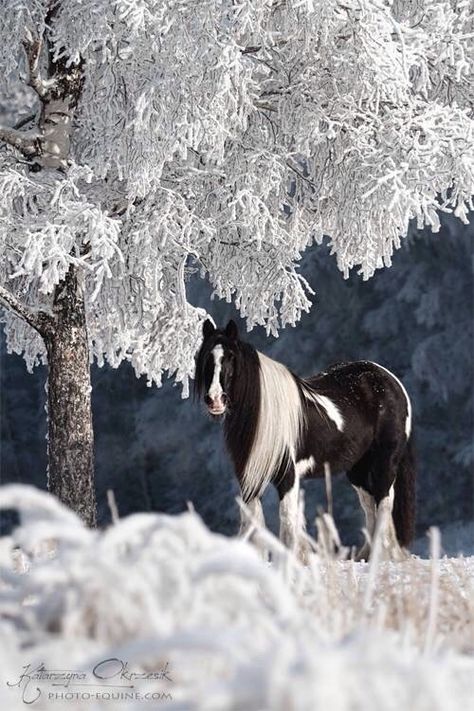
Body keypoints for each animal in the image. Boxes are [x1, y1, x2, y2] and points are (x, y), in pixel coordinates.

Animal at [193, 318, 414, 560]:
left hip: (385, 461)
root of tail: (391, 381)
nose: (214, 400)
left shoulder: (287, 476)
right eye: (204, 358)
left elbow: (288, 522)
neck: (263, 413)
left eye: (230, 357)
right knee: (369, 505)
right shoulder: (248, 477)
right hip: (358, 469)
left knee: (384, 503)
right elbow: (252, 522)